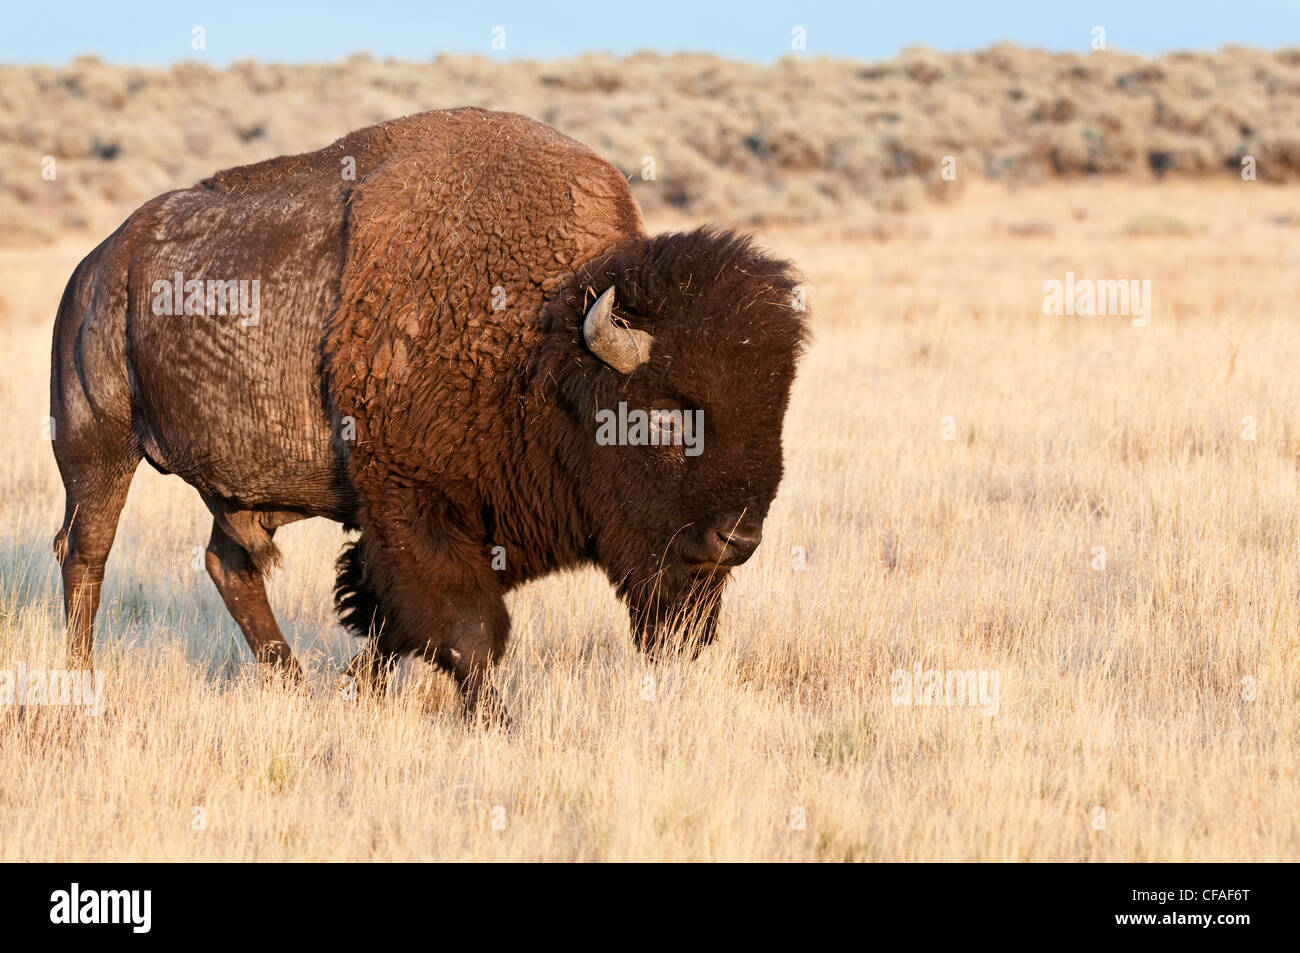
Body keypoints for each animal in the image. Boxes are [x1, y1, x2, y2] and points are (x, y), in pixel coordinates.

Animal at [50, 107, 809, 720]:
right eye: (665, 419)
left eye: (774, 414)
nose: (737, 538)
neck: (538, 345)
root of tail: (97, 265)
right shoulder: (412, 506)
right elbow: (467, 630)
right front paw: (497, 722)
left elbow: (392, 620)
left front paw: (357, 690)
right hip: (96, 447)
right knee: (85, 552)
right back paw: (80, 676)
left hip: (240, 492)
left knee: (228, 564)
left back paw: (290, 681)